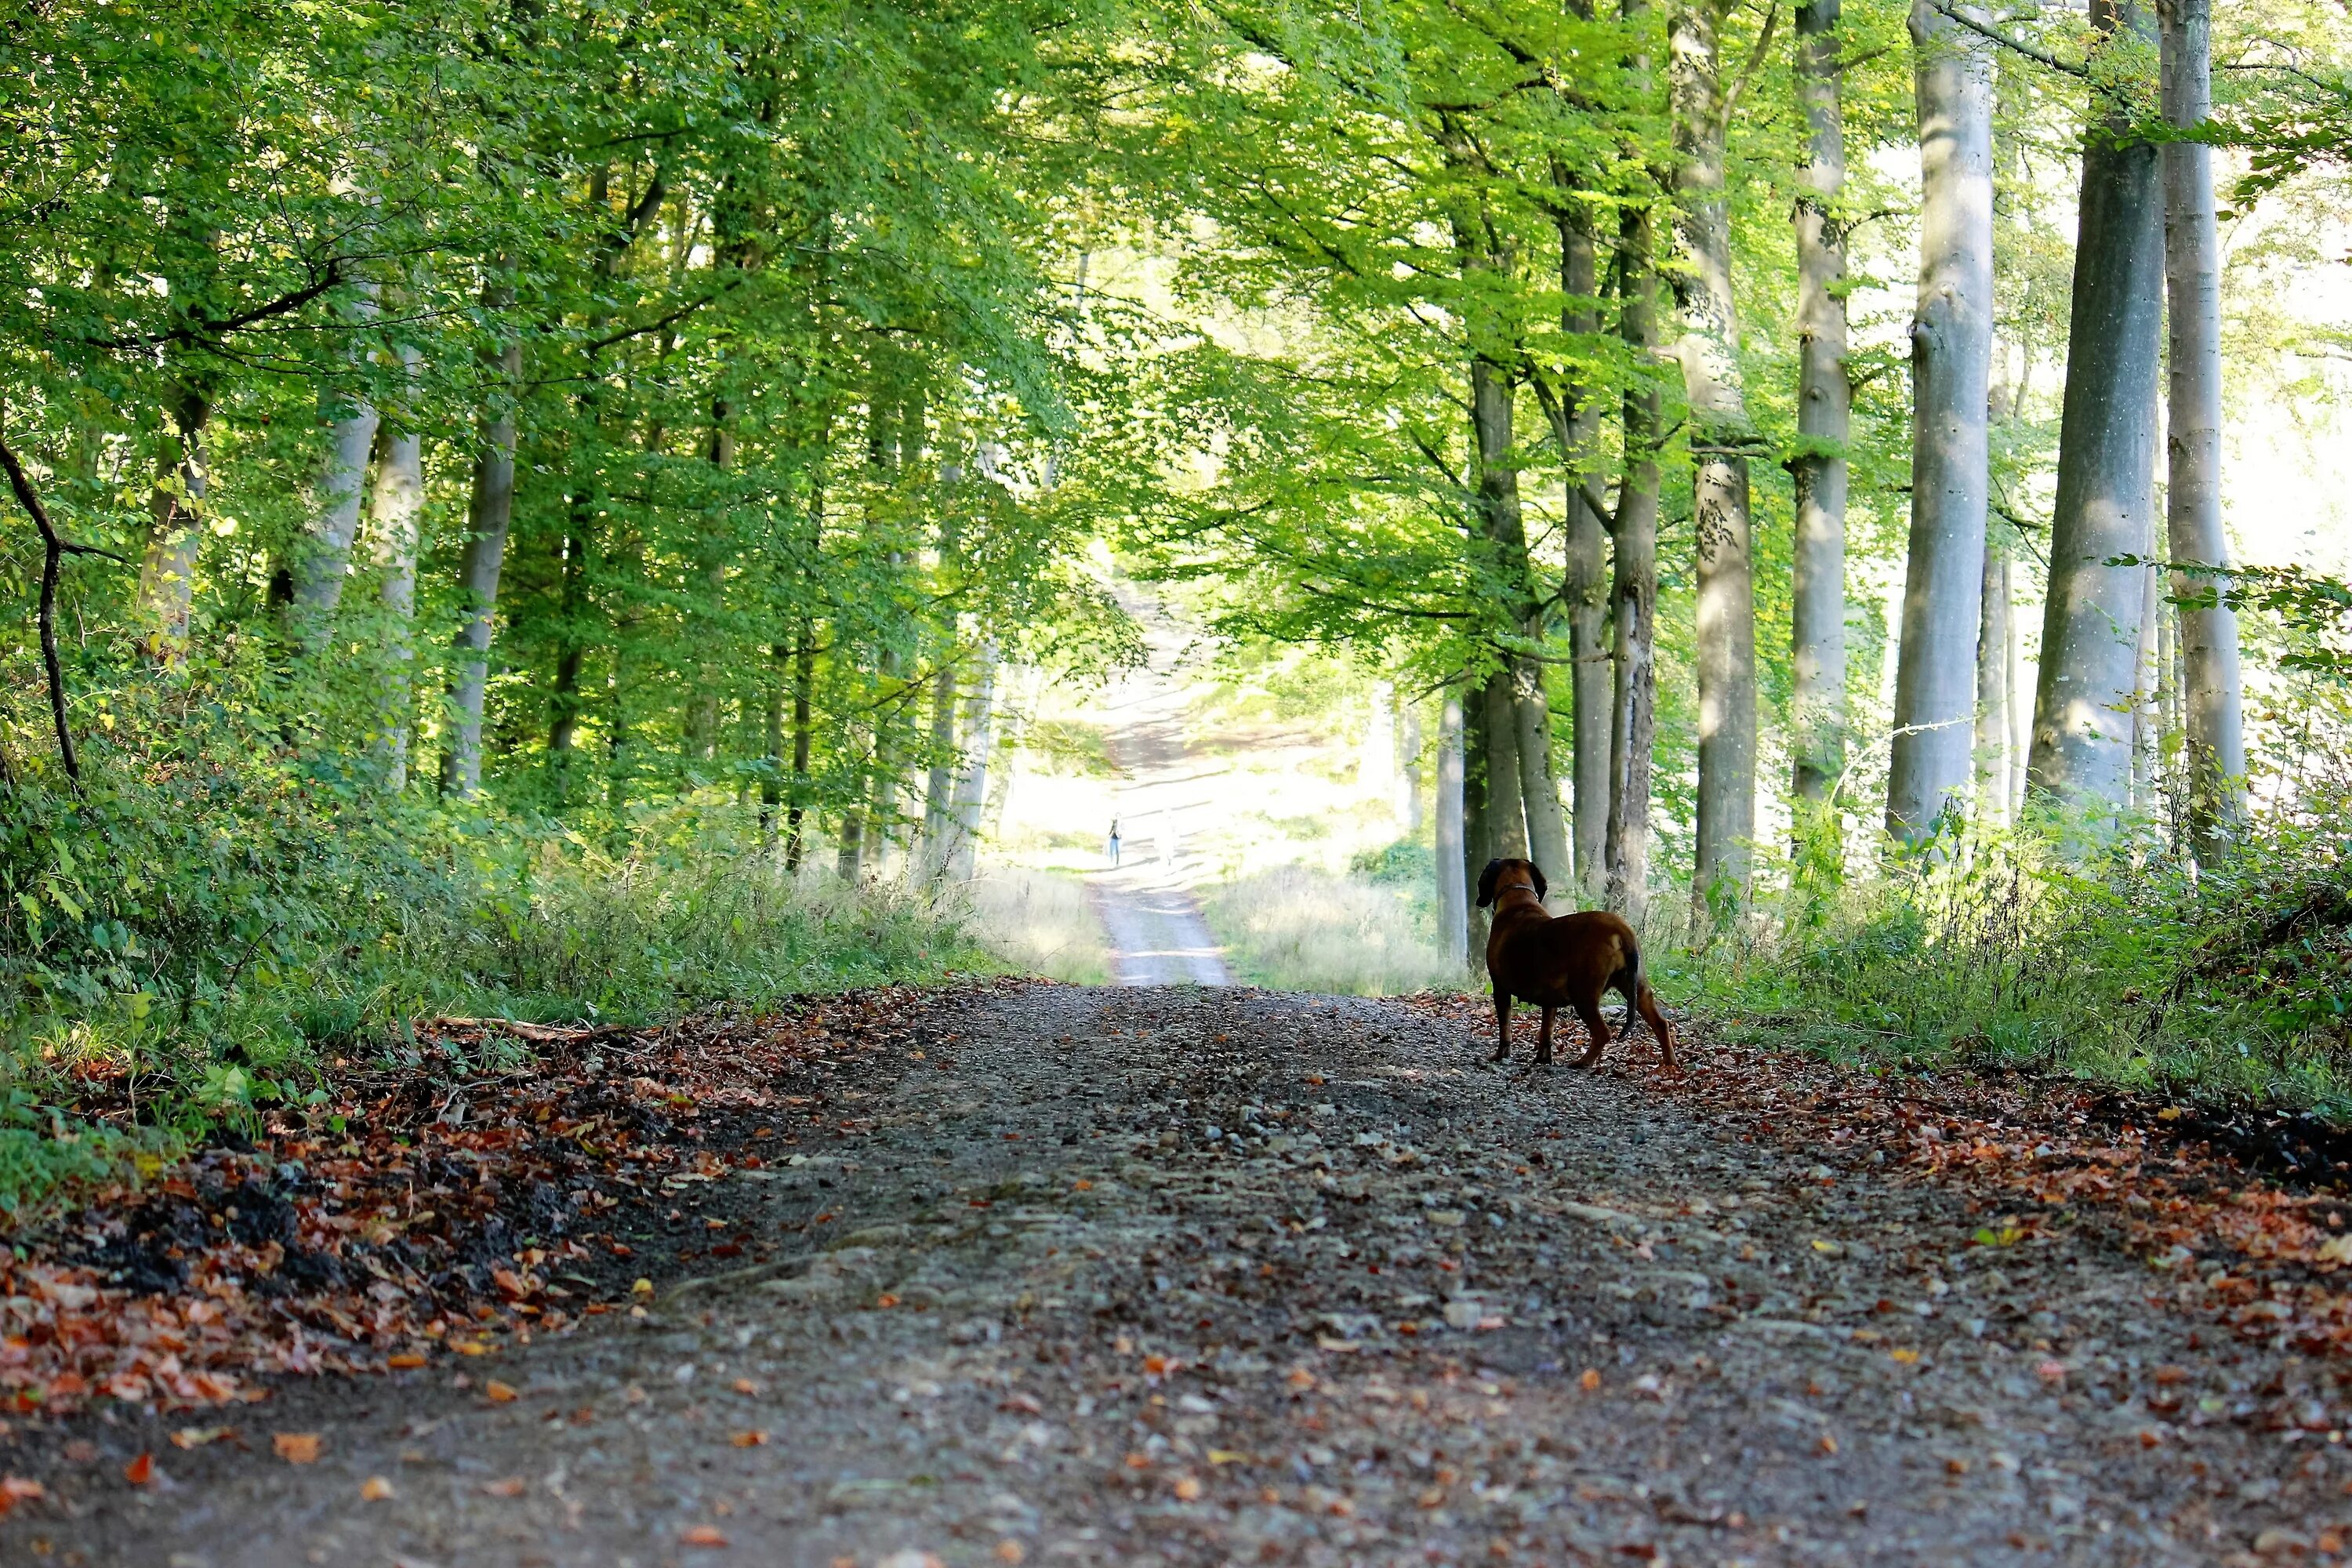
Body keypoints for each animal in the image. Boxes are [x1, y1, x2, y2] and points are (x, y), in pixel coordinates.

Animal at [1468, 860, 1675, 1067]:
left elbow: (1505, 1026)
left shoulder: (1500, 989)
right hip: (1638, 989)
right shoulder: (1548, 998)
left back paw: (1583, 1062)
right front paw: (1543, 1059)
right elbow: (1547, 1031)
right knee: (1661, 1024)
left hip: (1583, 995)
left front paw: (1501, 1054)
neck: (1518, 900)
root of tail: (1622, 930)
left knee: (1603, 1033)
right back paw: (1670, 1061)